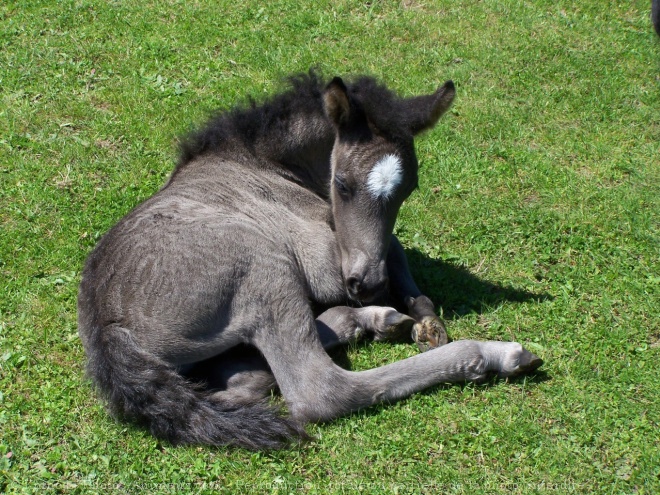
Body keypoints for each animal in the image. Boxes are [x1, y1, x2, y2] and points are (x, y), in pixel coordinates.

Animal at [78, 72, 540, 450]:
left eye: (409, 189)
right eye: (342, 183)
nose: (368, 286)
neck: (261, 162)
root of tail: (108, 329)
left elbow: (394, 249)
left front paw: (423, 320)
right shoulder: (323, 259)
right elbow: (393, 248)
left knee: (246, 382)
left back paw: (367, 321)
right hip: (265, 267)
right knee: (319, 390)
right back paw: (494, 352)